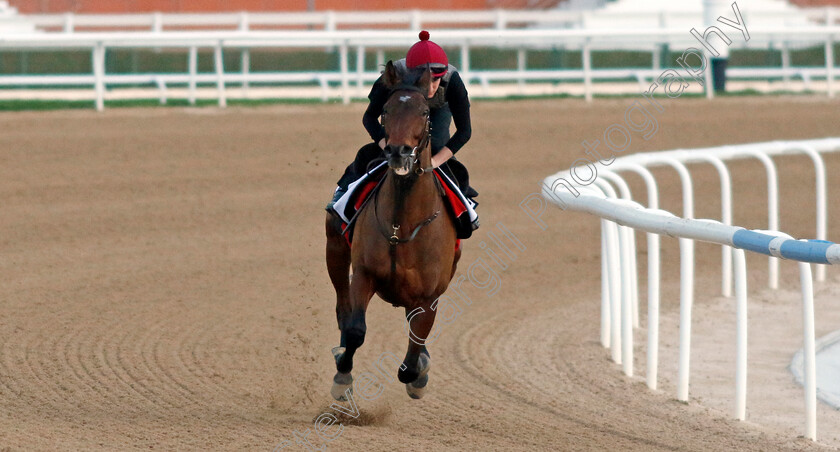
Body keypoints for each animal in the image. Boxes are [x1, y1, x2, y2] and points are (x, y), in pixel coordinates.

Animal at [326, 60, 460, 400]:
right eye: (386, 110)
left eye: (424, 112)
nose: (399, 152)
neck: (403, 224)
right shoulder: (364, 273)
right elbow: (356, 331)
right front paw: (342, 377)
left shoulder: (428, 296)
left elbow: (412, 358)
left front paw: (419, 372)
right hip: (334, 245)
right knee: (343, 303)